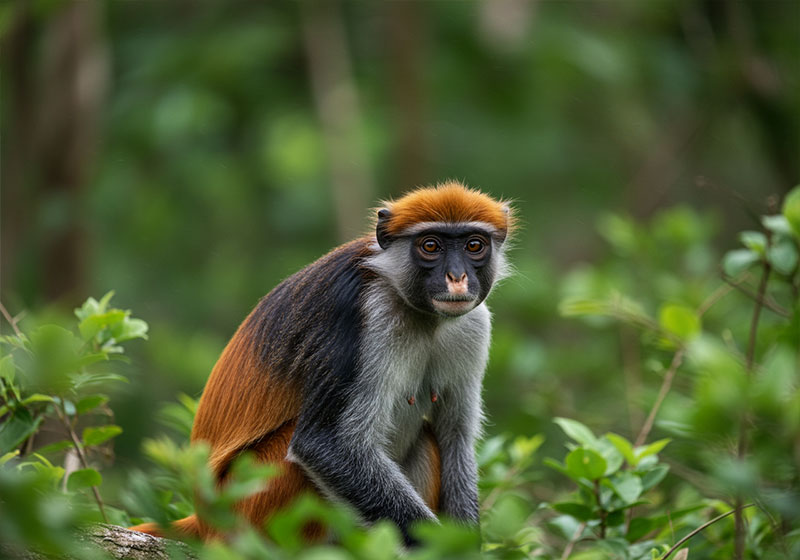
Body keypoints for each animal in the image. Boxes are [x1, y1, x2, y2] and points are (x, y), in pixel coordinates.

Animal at [129, 181, 514, 546]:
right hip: (248, 502)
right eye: (431, 246)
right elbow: (323, 445)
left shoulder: (474, 324)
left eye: (474, 246)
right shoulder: (361, 312)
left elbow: (455, 438)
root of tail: (206, 517)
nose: (457, 277)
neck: (422, 315)